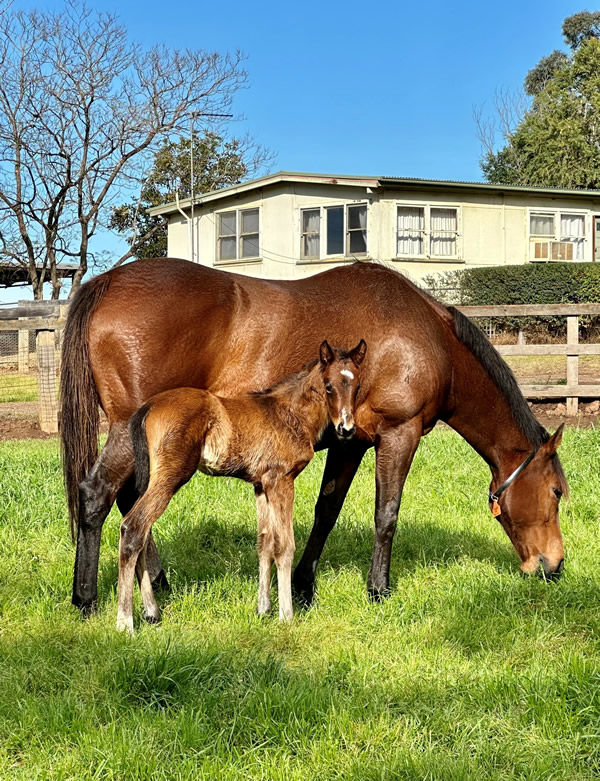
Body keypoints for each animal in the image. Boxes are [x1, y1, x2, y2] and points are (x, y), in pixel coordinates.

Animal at [114, 338, 364, 632]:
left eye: (357, 386)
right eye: (328, 385)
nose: (346, 429)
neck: (290, 413)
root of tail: (148, 406)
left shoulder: (261, 485)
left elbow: (265, 542)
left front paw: (263, 609)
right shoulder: (281, 480)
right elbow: (284, 545)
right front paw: (286, 615)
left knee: (142, 530)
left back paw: (152, 612)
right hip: (171, 475)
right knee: (134, 526)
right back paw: (125, 622)